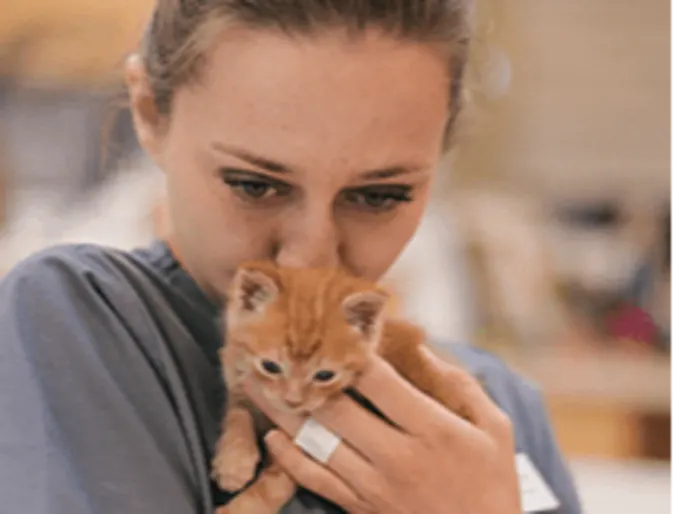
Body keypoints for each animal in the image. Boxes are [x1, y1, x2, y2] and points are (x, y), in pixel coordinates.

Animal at [213, 262, 470, 510]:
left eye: (324, 375)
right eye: (270, 366)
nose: (293, 401)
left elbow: (276, 482)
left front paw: (242, 507)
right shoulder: (239, 379)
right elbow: (238, 412)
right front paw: (234, 461)